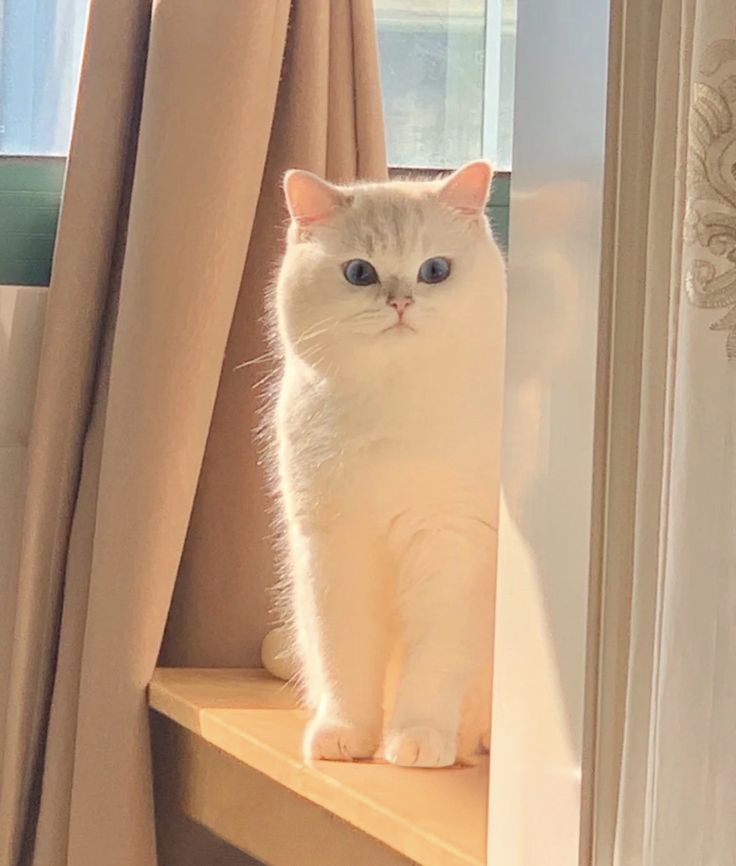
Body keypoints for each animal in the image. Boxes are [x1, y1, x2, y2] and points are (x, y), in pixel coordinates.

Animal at [270, 160, 506, 764]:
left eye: (435, 270)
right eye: (360, 273)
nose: (400, 301)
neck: (391, 411)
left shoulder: (451, 542)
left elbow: (436, 661)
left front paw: (418, 738)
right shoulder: (335, 546)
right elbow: (344, 654)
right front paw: (345, 734)